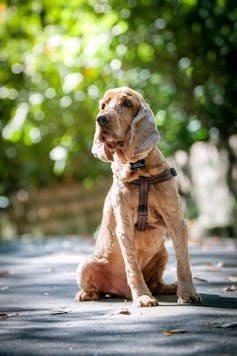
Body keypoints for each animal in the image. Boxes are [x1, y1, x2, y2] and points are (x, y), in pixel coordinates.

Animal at [75, 86, 201, 306]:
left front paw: (188, 293)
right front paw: (142, 296)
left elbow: (183, 262)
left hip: (162, 252)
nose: (101, 119)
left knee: (156, 282)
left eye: (126, 103)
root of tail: (121, 292)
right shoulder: (124, 226)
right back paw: (87, 295)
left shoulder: (176, 221)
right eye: (103, 105)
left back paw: (169, 287)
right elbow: (132, 266)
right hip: (85, 265)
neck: (140, 170)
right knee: (96, 288)